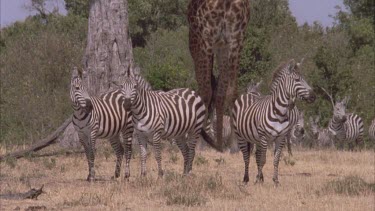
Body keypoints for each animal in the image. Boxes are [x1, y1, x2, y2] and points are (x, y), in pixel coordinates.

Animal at [188, 0, 253, 150]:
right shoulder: (206, 36)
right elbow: (207, 92)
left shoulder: (236, 39)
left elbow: (231, 92)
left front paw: (235, 144)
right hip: (200, 44)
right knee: (206, 88)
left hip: (216, 47)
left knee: (217, 91)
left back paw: (216, 142)